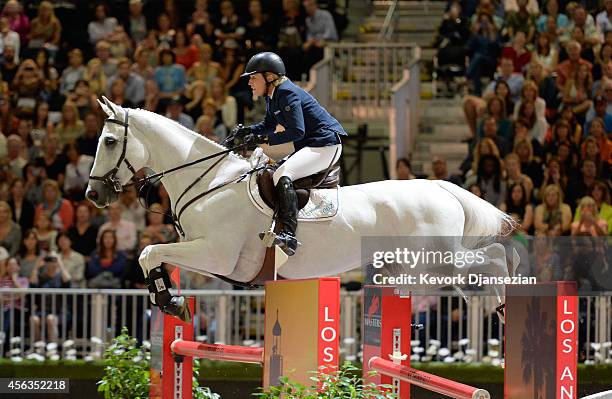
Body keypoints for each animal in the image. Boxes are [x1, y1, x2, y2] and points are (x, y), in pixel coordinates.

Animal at [86, 97, 512, 310]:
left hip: (436, 260)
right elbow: (153, 255)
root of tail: (442, 187)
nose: (93, 195)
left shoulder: (216, 254)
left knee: (494, 259)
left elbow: (148, 251)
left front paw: (169, 300)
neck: (211, 181)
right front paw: (169, 297)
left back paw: (504, 307)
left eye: (109, 141)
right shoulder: (213, 259)